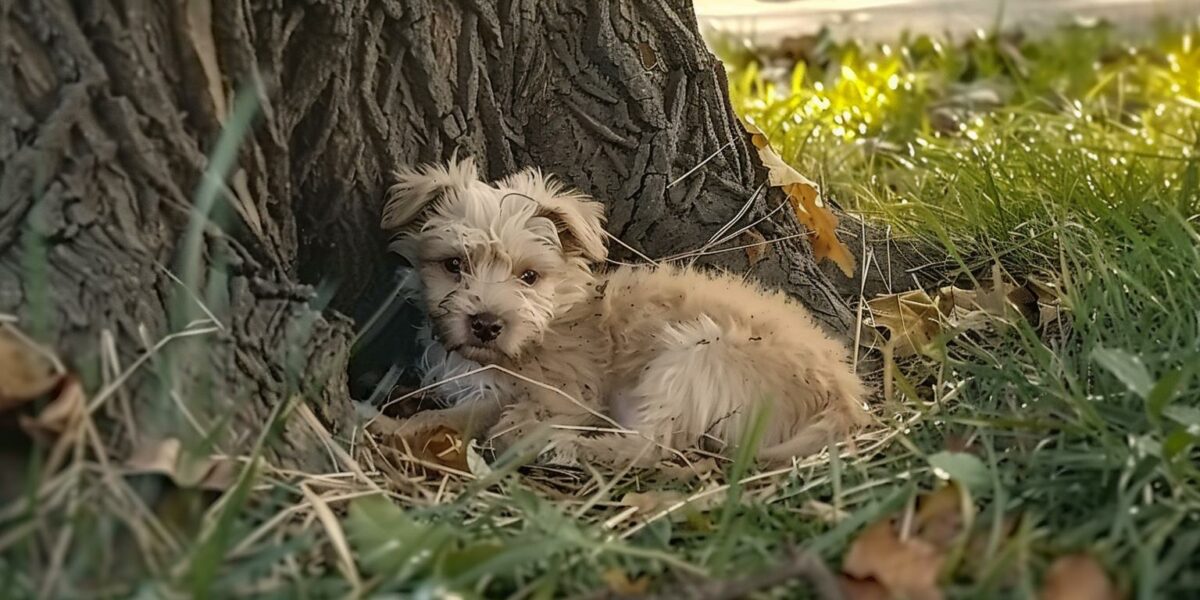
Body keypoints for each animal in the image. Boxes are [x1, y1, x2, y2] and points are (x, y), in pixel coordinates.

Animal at [379, 157, 868, 465]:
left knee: (647, 448)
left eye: (529, 276)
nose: (485, 324)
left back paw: (560, 446)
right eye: (454, 265)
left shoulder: (566, 392)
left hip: (693, 356)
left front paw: (393, 429)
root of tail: (841, 392)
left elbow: (491, 414)